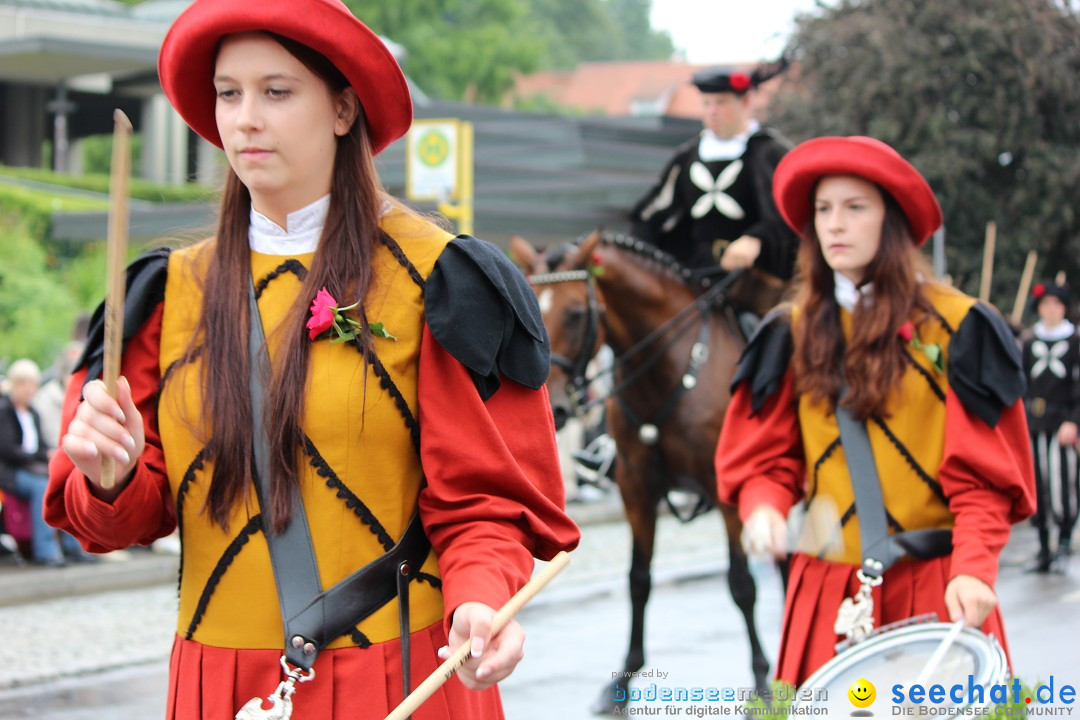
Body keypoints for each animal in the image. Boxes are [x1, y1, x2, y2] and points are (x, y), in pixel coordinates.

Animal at [514, 232, 786, 716]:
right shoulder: (636, 490)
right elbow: (638, 581)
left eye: (576, 313)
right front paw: (621, 683)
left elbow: (742, 585)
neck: (673, 371)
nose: (552, 407)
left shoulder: (725, 494)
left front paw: (761, 683)